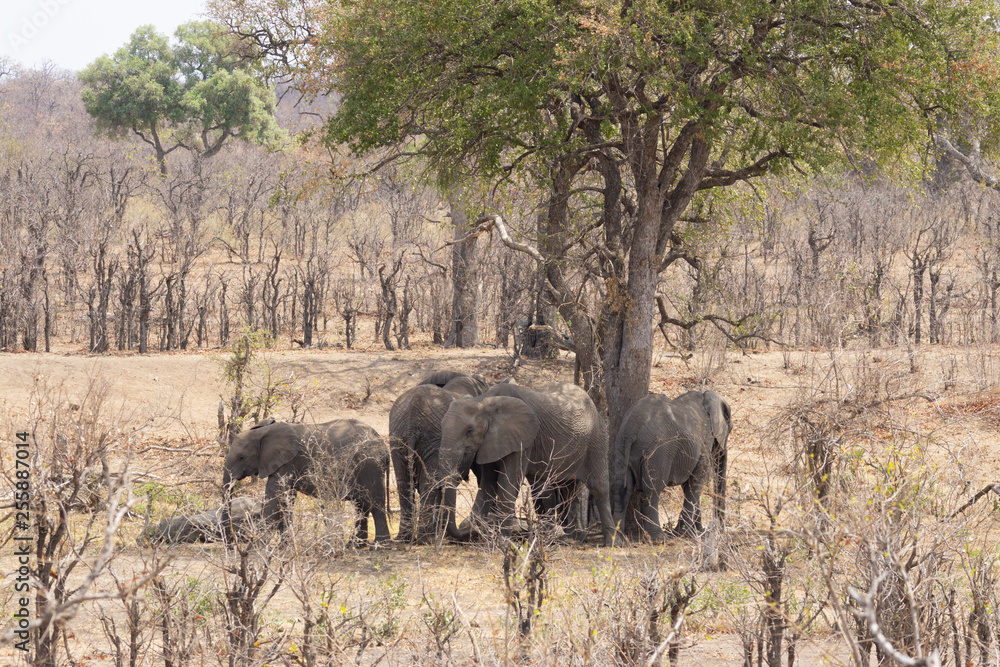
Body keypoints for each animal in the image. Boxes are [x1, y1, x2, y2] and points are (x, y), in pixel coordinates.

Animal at [223, 419, 391, 544]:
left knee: (375, 503)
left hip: (370, 465)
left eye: (242, 457)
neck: (262, 431)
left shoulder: (286, 462)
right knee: (362, 506)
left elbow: (274, 497)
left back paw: (380, 544)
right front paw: (285, 546)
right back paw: (354, 545)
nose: (230, 542)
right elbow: (286, 499)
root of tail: (383, 445)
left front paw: (259, 545)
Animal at [389, 371, 491, 542]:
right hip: (434, 437)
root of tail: (413, 412)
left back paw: (405, 538)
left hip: (398, 436)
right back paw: (427, 539)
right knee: (429, 483)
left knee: (404, 483)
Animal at [438, 381, 617, 546]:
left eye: (469, 430)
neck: (484, 401)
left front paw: (504, 543)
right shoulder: (490, 442)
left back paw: (612, 543)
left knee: (598, 487)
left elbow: (508, 483)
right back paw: (570, 540)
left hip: (597, 437)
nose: (467, 531)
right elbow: (488, 484)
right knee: (569, 490)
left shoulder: (522, 441)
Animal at [610, 390, 731, 541]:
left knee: (622, 489)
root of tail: (631, 430)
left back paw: (617, 537)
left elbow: (689, 485)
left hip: (621, 447)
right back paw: (659, 537)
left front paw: (696, 531)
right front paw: (685, 533)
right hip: (657, 453)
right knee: (652, 491)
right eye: (730, 427)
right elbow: (696, 481)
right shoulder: (704, 439)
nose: (719, 530)